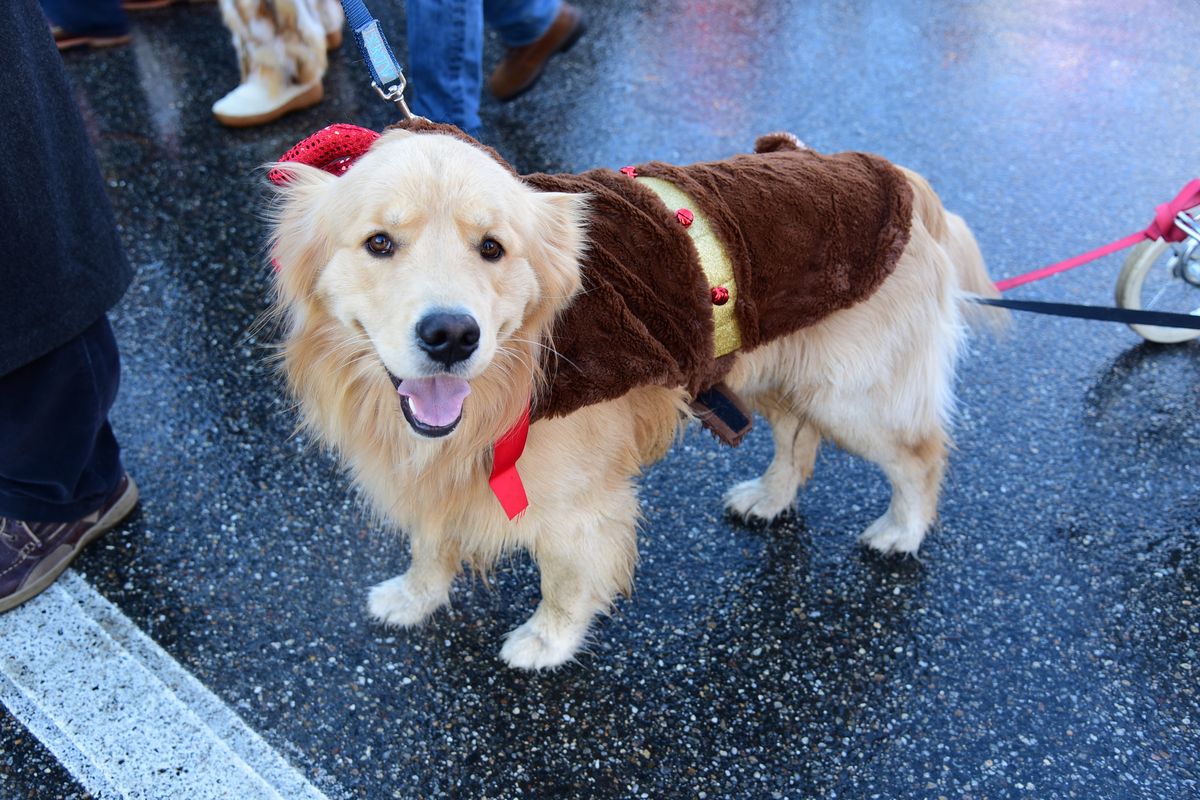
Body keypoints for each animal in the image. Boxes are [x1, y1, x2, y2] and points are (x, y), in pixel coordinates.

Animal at [265, 122, 1003, 671]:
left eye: (493, 248)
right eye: (378, 243)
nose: (451, 335)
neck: (517, 370)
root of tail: (901, 176)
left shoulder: (579, 503)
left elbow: (566, 580)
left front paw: (545, 641)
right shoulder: (435, 471)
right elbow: (429, 544)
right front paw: (415, 598)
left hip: (854, 395)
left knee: (920, 456)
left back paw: (902, 531)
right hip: (783, 377)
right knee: (799, 442)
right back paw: (769, 499)